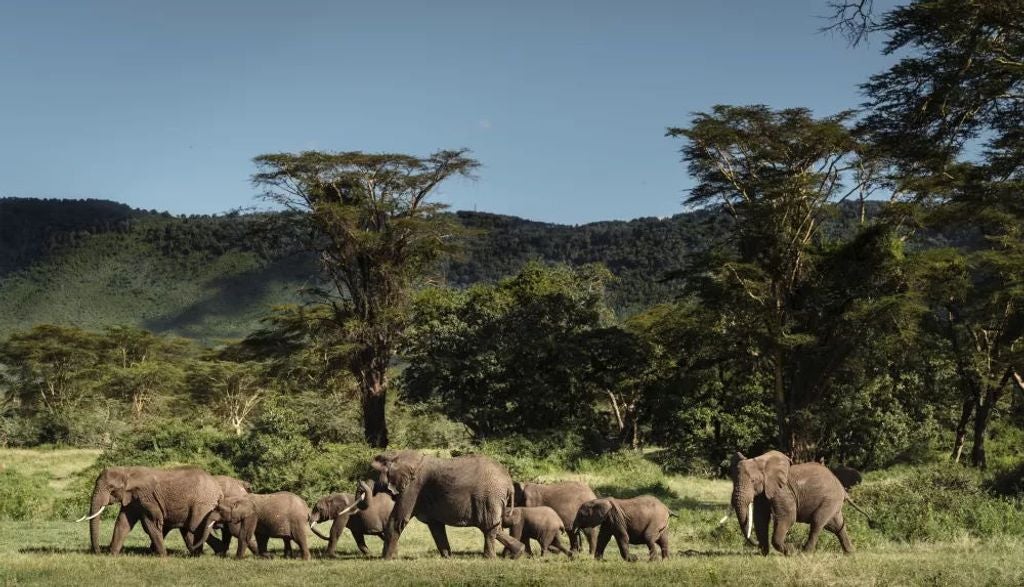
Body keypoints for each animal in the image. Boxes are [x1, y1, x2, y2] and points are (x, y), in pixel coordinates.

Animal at [78, 467, 224, 553]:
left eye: (111, 488)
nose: (98, 552)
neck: (127, 471)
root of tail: (218, 487)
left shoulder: (147, 497)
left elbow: (152, 524)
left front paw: (163, 557)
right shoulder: (132, 499)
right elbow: (122, 523)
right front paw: (112, 555)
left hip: (203, 503)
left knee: (195, 526)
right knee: (189, 529)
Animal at [370, 448, 528, 557]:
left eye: (374, 473)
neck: (398, 455)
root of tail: (508, 482)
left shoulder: (413, 486)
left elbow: (398, 519)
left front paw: (385, 560)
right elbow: (436, 526)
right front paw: (447, 557)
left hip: (489, 496)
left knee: (488, 526)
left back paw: (490, 558)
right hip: (493, 498)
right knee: (494, 527)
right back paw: (519, 552)